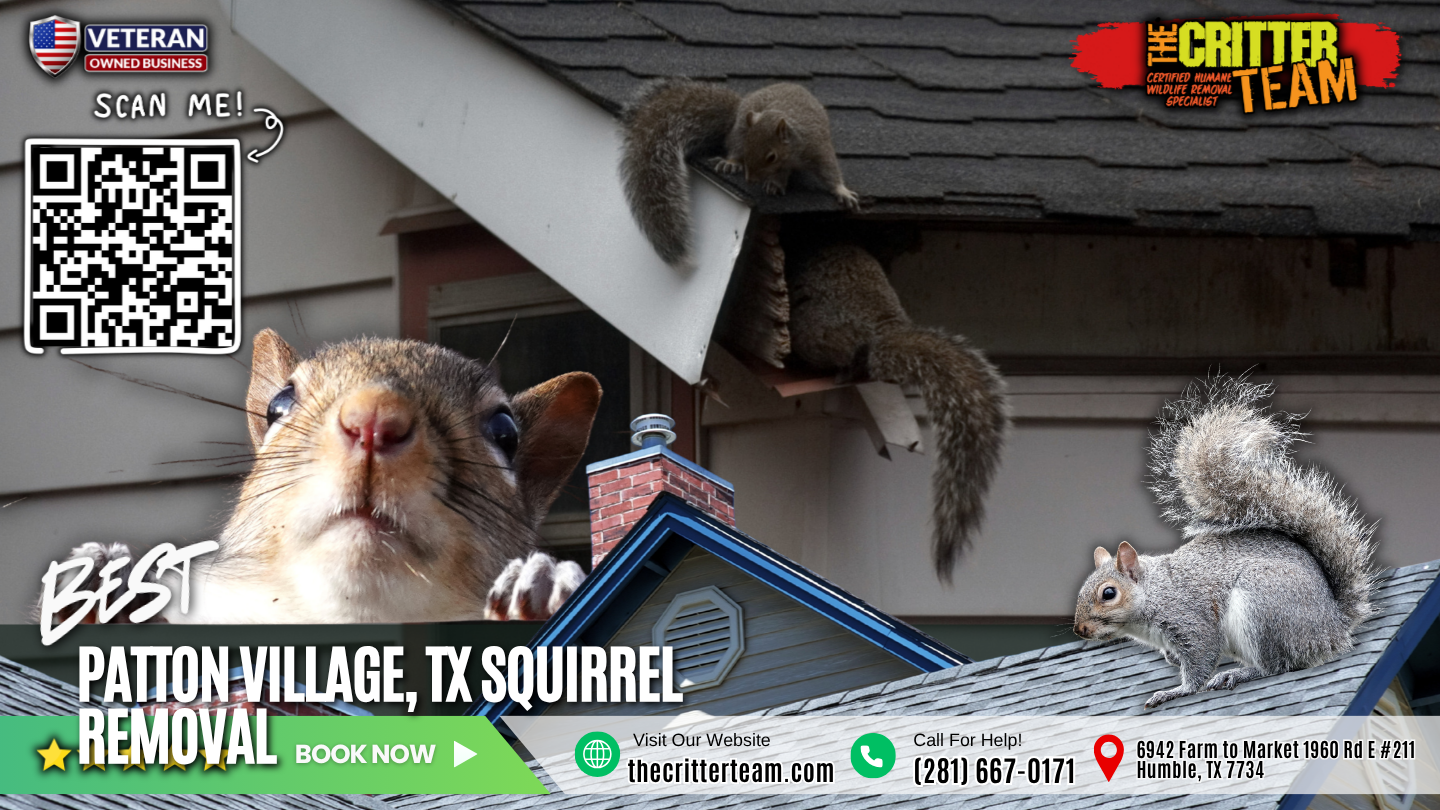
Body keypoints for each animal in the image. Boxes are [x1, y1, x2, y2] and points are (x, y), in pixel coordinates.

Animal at [620, 78, 861, 267]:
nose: (750, 179)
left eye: (771, 156)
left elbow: (829, 170)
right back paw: (731, 163)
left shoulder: (817, 147)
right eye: (748, 148)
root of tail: (739, 111)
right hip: (739, 129)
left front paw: (842, 191)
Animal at [1073, 376, 1375, 709]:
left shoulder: (1190, 620)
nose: (1079, 629)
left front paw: (1177, 691)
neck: (1154, 594)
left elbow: (1201, 659)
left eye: (1109, 593)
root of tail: (1333, 625)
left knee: (1276, 665)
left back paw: (1239, 673)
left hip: (1264, 607)